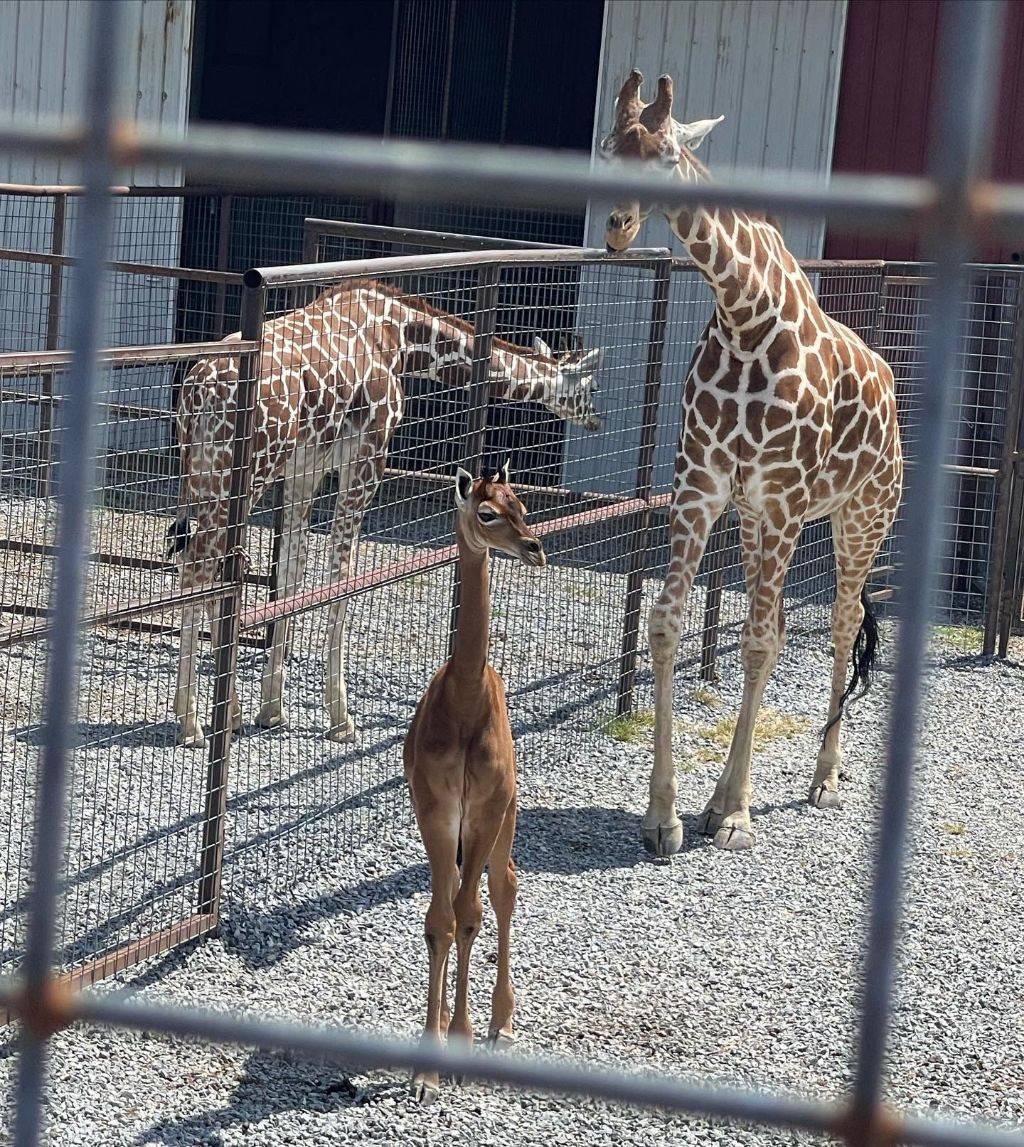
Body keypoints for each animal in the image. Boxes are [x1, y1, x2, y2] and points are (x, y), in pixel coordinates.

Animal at [166, 276, 600, 743]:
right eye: (591, 388)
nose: (597, 419)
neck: (400, 339)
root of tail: (197, 391)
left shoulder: (304, 469)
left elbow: (290, 574)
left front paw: (271, 708)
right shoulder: (367, 459)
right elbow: (342, 579)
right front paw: (341, 718)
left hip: (206, 472)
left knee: (210, 567)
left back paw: (225, 711)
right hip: (244, 472)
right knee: (198, 568)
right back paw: (190, 721)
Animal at [600, 71, 903, 857]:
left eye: (664, 155)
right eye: (608, 149)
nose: (616, 228)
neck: (745, 319)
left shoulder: (785, 500)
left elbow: (762, 642)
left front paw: (733, 811)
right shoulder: (702, 490)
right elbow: (669, 623)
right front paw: (666, 815)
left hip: (861, 518)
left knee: (839, 622)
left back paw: (824, 778)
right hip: (753, 524)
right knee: (789, 622)